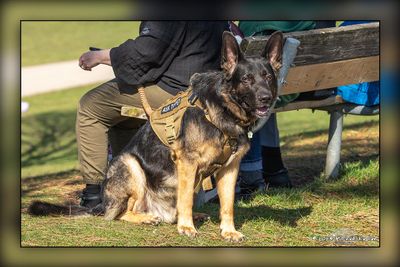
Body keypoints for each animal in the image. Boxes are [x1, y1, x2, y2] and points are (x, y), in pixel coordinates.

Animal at [28, 31, 282, 243]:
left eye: (268, 77)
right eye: (247, 79)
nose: (266, 98)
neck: (221, 109)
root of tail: (102, 203)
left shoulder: (230, 168)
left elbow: (227, 204)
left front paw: (228, 231)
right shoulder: (187, 163)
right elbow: (186, 199)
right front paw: (186, 228)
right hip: (131, 165)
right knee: (119, 213)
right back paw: (147, 217)